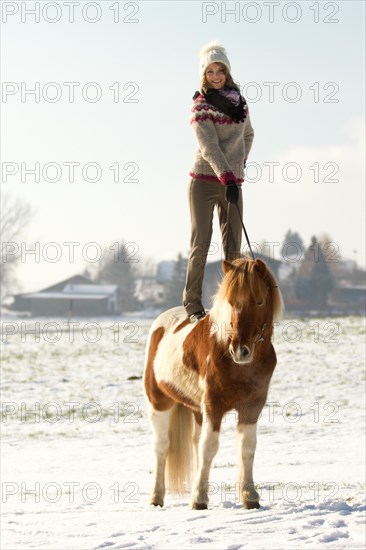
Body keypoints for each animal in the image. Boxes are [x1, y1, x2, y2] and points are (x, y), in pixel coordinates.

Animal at [143, 258, 284, 512]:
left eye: (259, 300)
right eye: (231, 302)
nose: (240, 350)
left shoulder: (252, 406)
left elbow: (247, 448)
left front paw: (249, 496)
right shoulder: (213, 405)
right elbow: (209, 447)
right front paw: (199, 499)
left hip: (197, 411)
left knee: (194, 442)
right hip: (159, 403)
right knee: (162, 448)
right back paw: (156, 497)